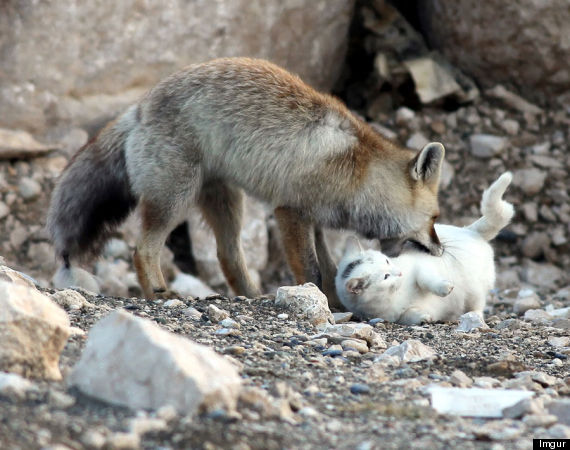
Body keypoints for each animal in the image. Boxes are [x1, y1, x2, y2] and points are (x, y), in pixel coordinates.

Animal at [46, 57, 446, 302]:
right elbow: (313, 271)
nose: (442, 250)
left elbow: (331, 268)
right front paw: (320, 303)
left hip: (227, 202)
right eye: (435, 218)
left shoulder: (315, 220)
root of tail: (139, 107)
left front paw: (335, 303)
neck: (357, 171)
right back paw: (159, 293)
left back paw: (251, 296)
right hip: (174, 198)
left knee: (227, 256)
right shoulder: (291, 211)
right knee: (143, 250)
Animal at [336, 171, 512, 324]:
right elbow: (409, 315)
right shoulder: (396, 317)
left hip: (475, 290)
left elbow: (427, 280)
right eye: (386, 277)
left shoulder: (420, 267)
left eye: (386, 261)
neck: (394, 295)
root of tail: (469, 230)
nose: (399, 273)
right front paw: (424, 317)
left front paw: (445, 288)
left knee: (478, 305)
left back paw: (474, 316)